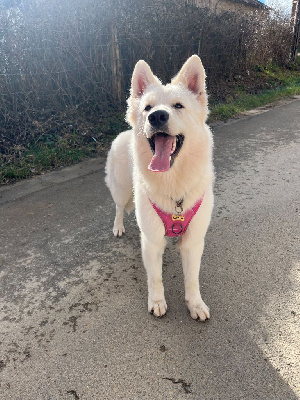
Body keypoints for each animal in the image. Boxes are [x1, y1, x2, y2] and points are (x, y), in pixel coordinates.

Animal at [105, 55, 213, 322]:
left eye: (178, 106)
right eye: (147, 108)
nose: (156, 117)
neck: (173, 183)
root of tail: (124, 133)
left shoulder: (193, 242)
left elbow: (192, 279)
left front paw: (195, 304)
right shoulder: (152, 242)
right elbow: (155, 277)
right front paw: (156, 301)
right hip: (122, 190)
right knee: (118, 208)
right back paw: (118, 226)